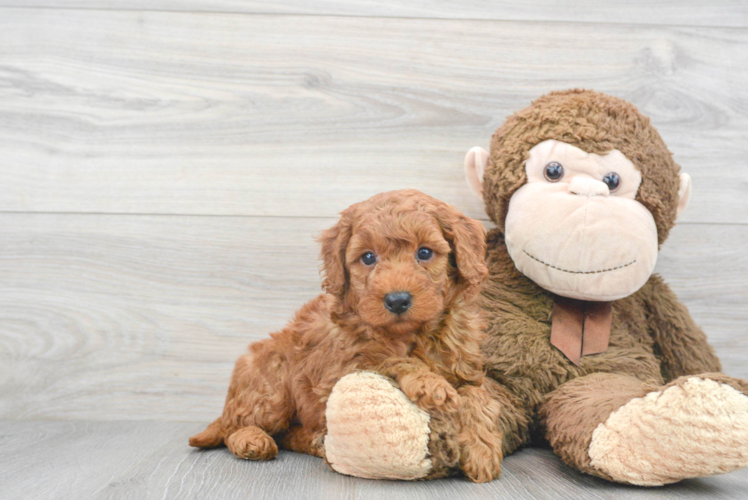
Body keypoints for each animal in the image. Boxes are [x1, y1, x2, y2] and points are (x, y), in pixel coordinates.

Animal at [187, 189, 502, 482]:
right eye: (368, 257)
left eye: (424, 253)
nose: (397, 300)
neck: (411, 335)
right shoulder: (344, 368)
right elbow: (391, 360)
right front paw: (430, 383)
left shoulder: (466, 368)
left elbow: (478, 396)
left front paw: (482, 450)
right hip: (272, 388)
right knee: (236, 427)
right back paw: (252, 440)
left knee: (288, 433)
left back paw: (314, 441)